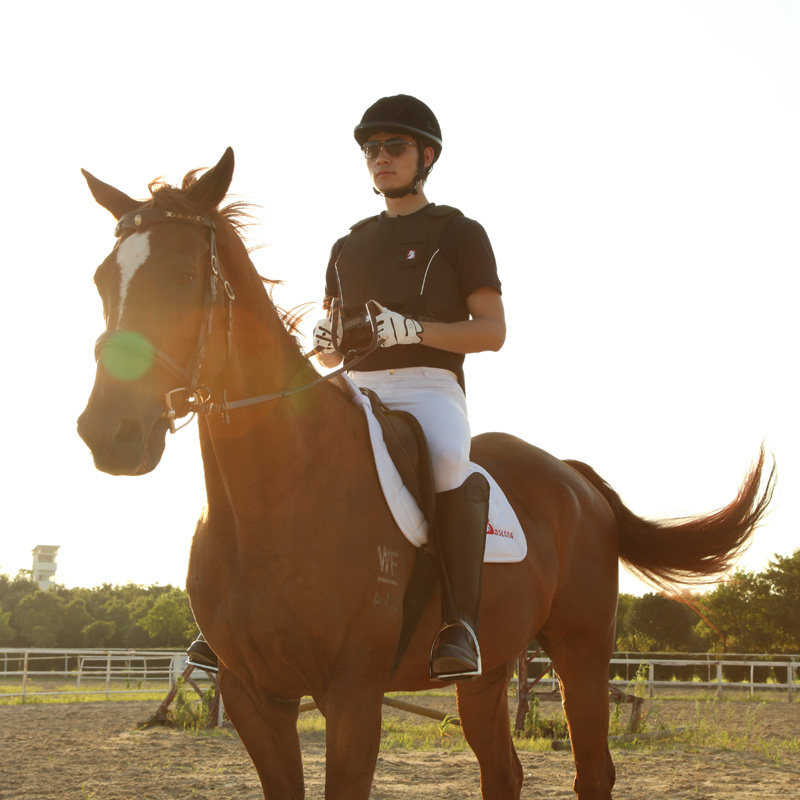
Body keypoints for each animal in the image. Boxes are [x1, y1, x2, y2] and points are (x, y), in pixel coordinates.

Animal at [77, 149, 772, 800]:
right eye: (103, 280)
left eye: (184, 276)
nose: (108, 433)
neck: (276, 499)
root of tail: (573, 479)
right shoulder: (254, 694)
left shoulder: (353, 693)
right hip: (490, 671)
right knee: (504, 772)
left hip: (582, 651)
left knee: (592, 770)